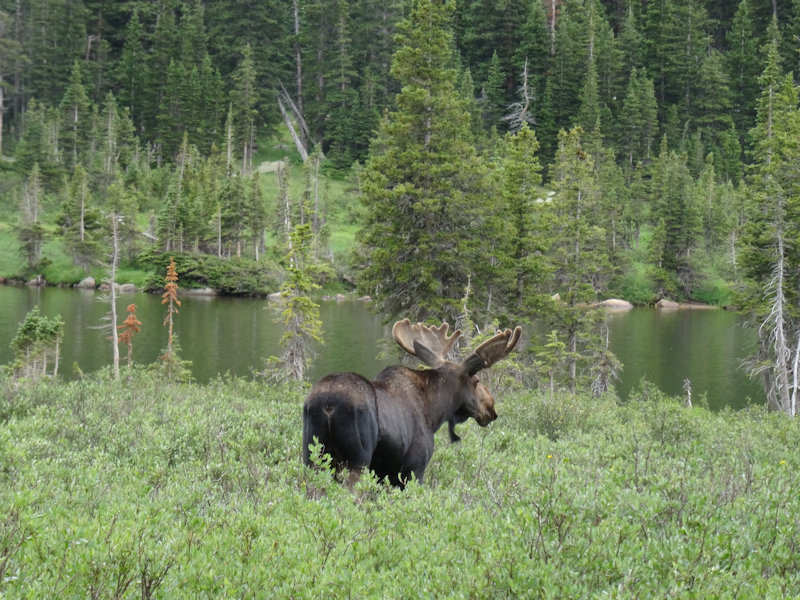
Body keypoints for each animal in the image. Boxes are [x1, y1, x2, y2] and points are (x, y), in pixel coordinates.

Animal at [304, 318, 520, 488]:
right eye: (476, 381)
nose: (490, 407)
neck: (434, 414)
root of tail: (328, 404)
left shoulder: (385, 474)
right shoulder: (414, 468)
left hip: (312, 458)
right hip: (356, 462)